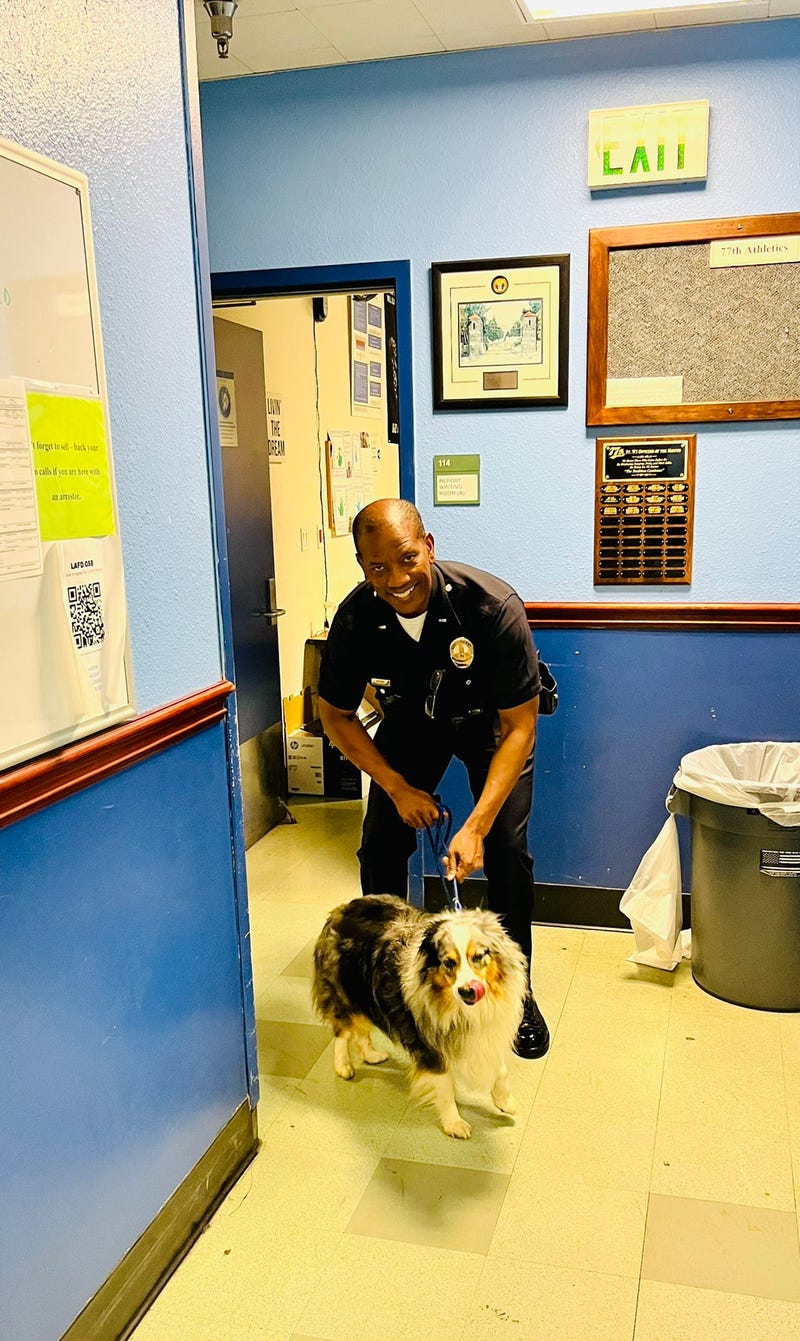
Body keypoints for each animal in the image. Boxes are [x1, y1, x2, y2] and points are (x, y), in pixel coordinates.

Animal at [313, 895, 530, 1137]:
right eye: (448, 963)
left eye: (479, 956)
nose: (467, 991)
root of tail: (340, 909)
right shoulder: (430, 1046)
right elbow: (445, 1087)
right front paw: (454, 1123)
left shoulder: (489, 1032)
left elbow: (501, 1070)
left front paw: (505, 1101)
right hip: (344, 992)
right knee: (342, 1031)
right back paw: (343, 1065)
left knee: (360, 1031)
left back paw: (371, 1055)